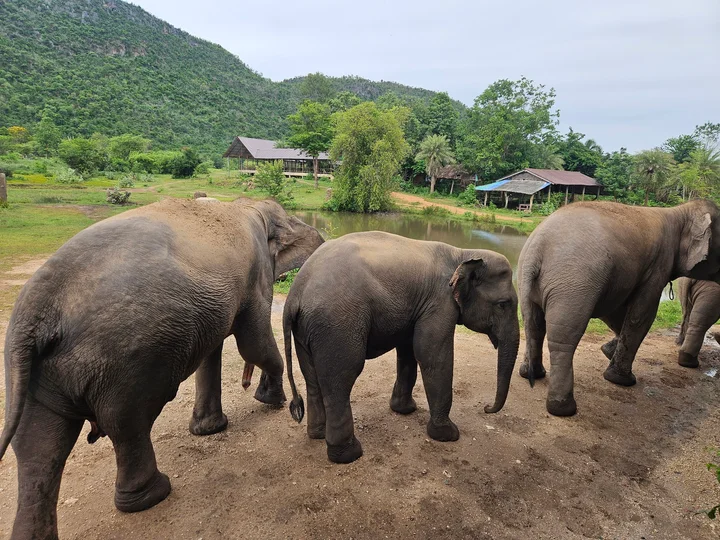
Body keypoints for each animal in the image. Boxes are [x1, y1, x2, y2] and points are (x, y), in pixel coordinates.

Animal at [0, 198, 323, 540]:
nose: (248, 384)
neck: (246, 206)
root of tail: (37, 307)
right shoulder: (255, 274)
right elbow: (253, 343)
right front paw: (272, 400)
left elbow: (215, 351)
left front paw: (210, 428)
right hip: (124, 358)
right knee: (126, 423)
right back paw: (154, 494)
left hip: (36, 371)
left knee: (39, 445)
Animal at [282, 231, 520, 464]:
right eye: (503, 304)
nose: (486, 408)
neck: (463, 253)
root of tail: (294, 295)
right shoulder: (439, 303)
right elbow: (432, 355)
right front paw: (448, 435)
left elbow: (409, 350)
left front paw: (404, 410)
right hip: (337, 325)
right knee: (341, 379)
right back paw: (349, 454)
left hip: (306, 330)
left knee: (312, 378)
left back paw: (318, 434)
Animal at [517, 199, 720, 417]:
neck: (680, 212)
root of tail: (536, 249)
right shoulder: (657, 266)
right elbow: (642, 314)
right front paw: (622, 380)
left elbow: (615, 310)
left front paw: (607, 351)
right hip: (572, 282)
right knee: (563, 338)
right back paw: (563, 409)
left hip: (531, 281)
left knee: (533, 325)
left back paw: (532, 374)